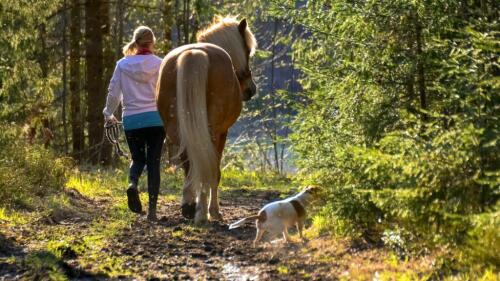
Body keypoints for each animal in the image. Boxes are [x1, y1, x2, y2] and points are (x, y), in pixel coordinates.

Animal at [156, 15, 258, 225]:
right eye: (247, 50)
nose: (250, 89)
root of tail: (195, 53)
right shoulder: (223, 133)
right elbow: (215, 172)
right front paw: (214, 211)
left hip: (178, 130)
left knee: (190, 162)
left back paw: (189, 207)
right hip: (211, 131)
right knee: (205, 166)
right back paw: (203, 213)